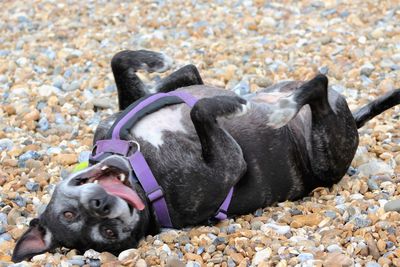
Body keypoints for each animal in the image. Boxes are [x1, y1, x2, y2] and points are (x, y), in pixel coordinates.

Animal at [12, 50, 400, 264]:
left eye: (68, 212)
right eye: (106, 233)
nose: (102, 207)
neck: (138, 167)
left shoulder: (135, 105)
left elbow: (133, 65)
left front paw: (157, 61)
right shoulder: (228, 163)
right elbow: (200, 110)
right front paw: (231, 102)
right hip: (325, 152)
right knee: (317, 86)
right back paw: (285, 108)